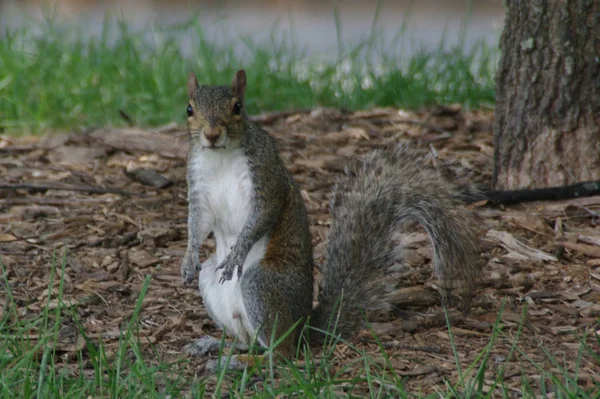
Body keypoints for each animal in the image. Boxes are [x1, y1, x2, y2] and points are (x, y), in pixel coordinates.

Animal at [180, 70, 480, 374]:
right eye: (189, 109)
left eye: (237, 107)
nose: (211, 134)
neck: (220, 156)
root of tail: (303, 326)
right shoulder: (198, 186)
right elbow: (197, 223)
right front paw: (189, 256)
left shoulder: (267, 177)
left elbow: (262, 217)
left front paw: (237, 253)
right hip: (211, 282)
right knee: (248, 339)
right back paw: (215, 346)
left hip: (261, 282)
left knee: (281, 354)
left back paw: (238, 362)